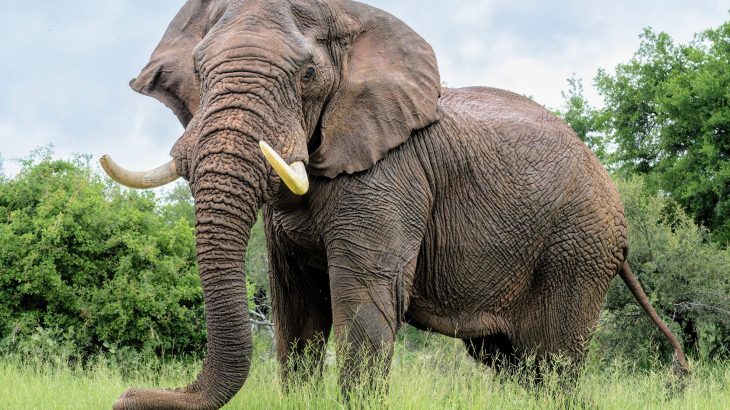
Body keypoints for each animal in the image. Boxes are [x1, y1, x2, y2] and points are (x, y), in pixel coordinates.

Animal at [101, 0, 689, 408]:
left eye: (307, 76)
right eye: (199, 74)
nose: (128, 397)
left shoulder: (389, 176)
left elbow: (365, 303)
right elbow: (296, 313)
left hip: (577, 246)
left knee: (552, 364)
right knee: (512, 362)